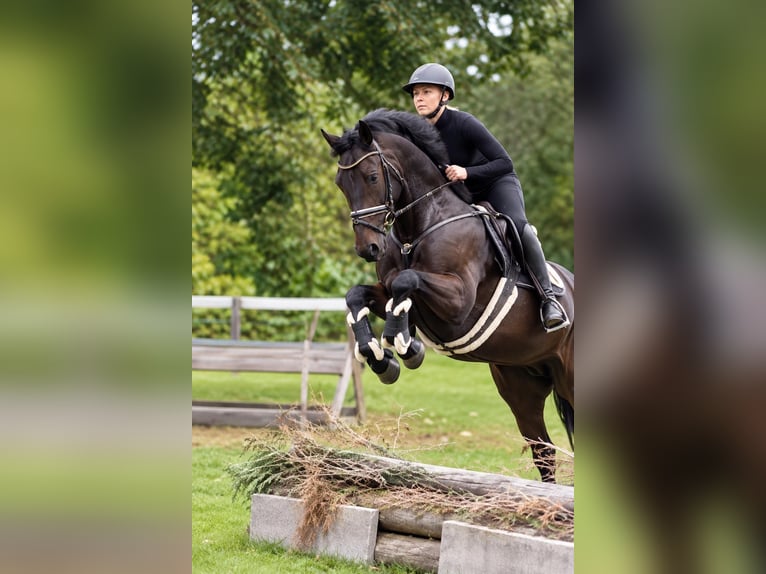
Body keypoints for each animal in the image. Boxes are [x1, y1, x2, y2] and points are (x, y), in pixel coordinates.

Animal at [321, 109, 574, 483]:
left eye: (371, 177)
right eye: (341, 183)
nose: (368, 249)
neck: (419, 224)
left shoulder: (458, 302)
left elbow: (406, 281)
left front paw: (403, 344)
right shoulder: (387, 291)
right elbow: (360, 295)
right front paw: (382, 357)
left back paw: (552, 312)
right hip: (521, 384)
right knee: (543, 451)